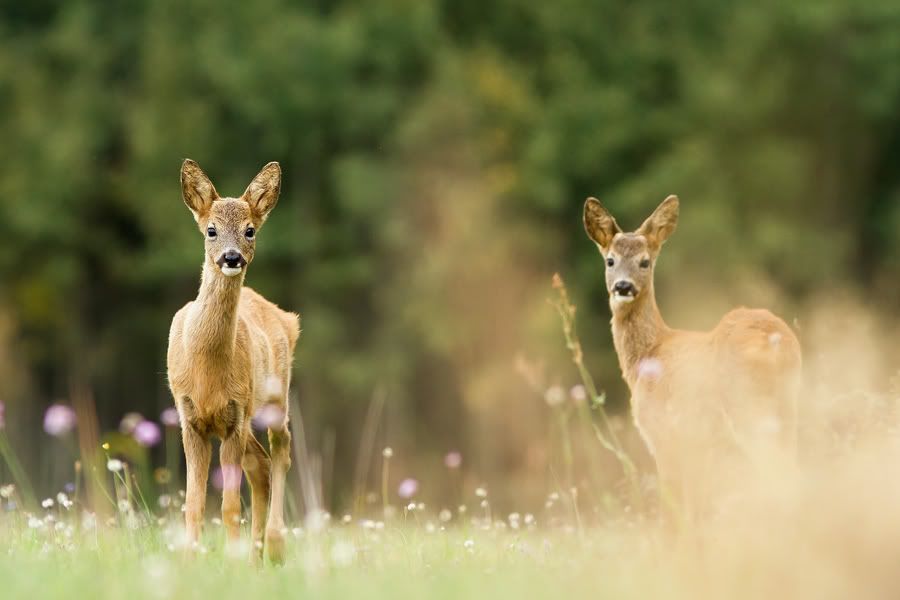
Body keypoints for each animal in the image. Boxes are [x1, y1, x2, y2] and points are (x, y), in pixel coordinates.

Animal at [165, 159, 298, 564]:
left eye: (249, 230)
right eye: (211, 230)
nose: (231, 257)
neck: (207, 370)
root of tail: (286, 319)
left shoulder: (235, 414)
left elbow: (228, 506)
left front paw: (233, 561)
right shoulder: (190, 417)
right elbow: (193, 504)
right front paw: (190, 560)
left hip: (275, 398)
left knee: (281, 451)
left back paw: (273, 545)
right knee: (261, 465)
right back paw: (257, 555)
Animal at [584, 196, 800, 520]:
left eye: (645, 261)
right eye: (610, 260)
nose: (623, 286)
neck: (649, 354)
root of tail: (777, 340)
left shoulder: (664, 432)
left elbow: (673, 511)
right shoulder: (697, 445)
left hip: (750, 409)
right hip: (791, 407)